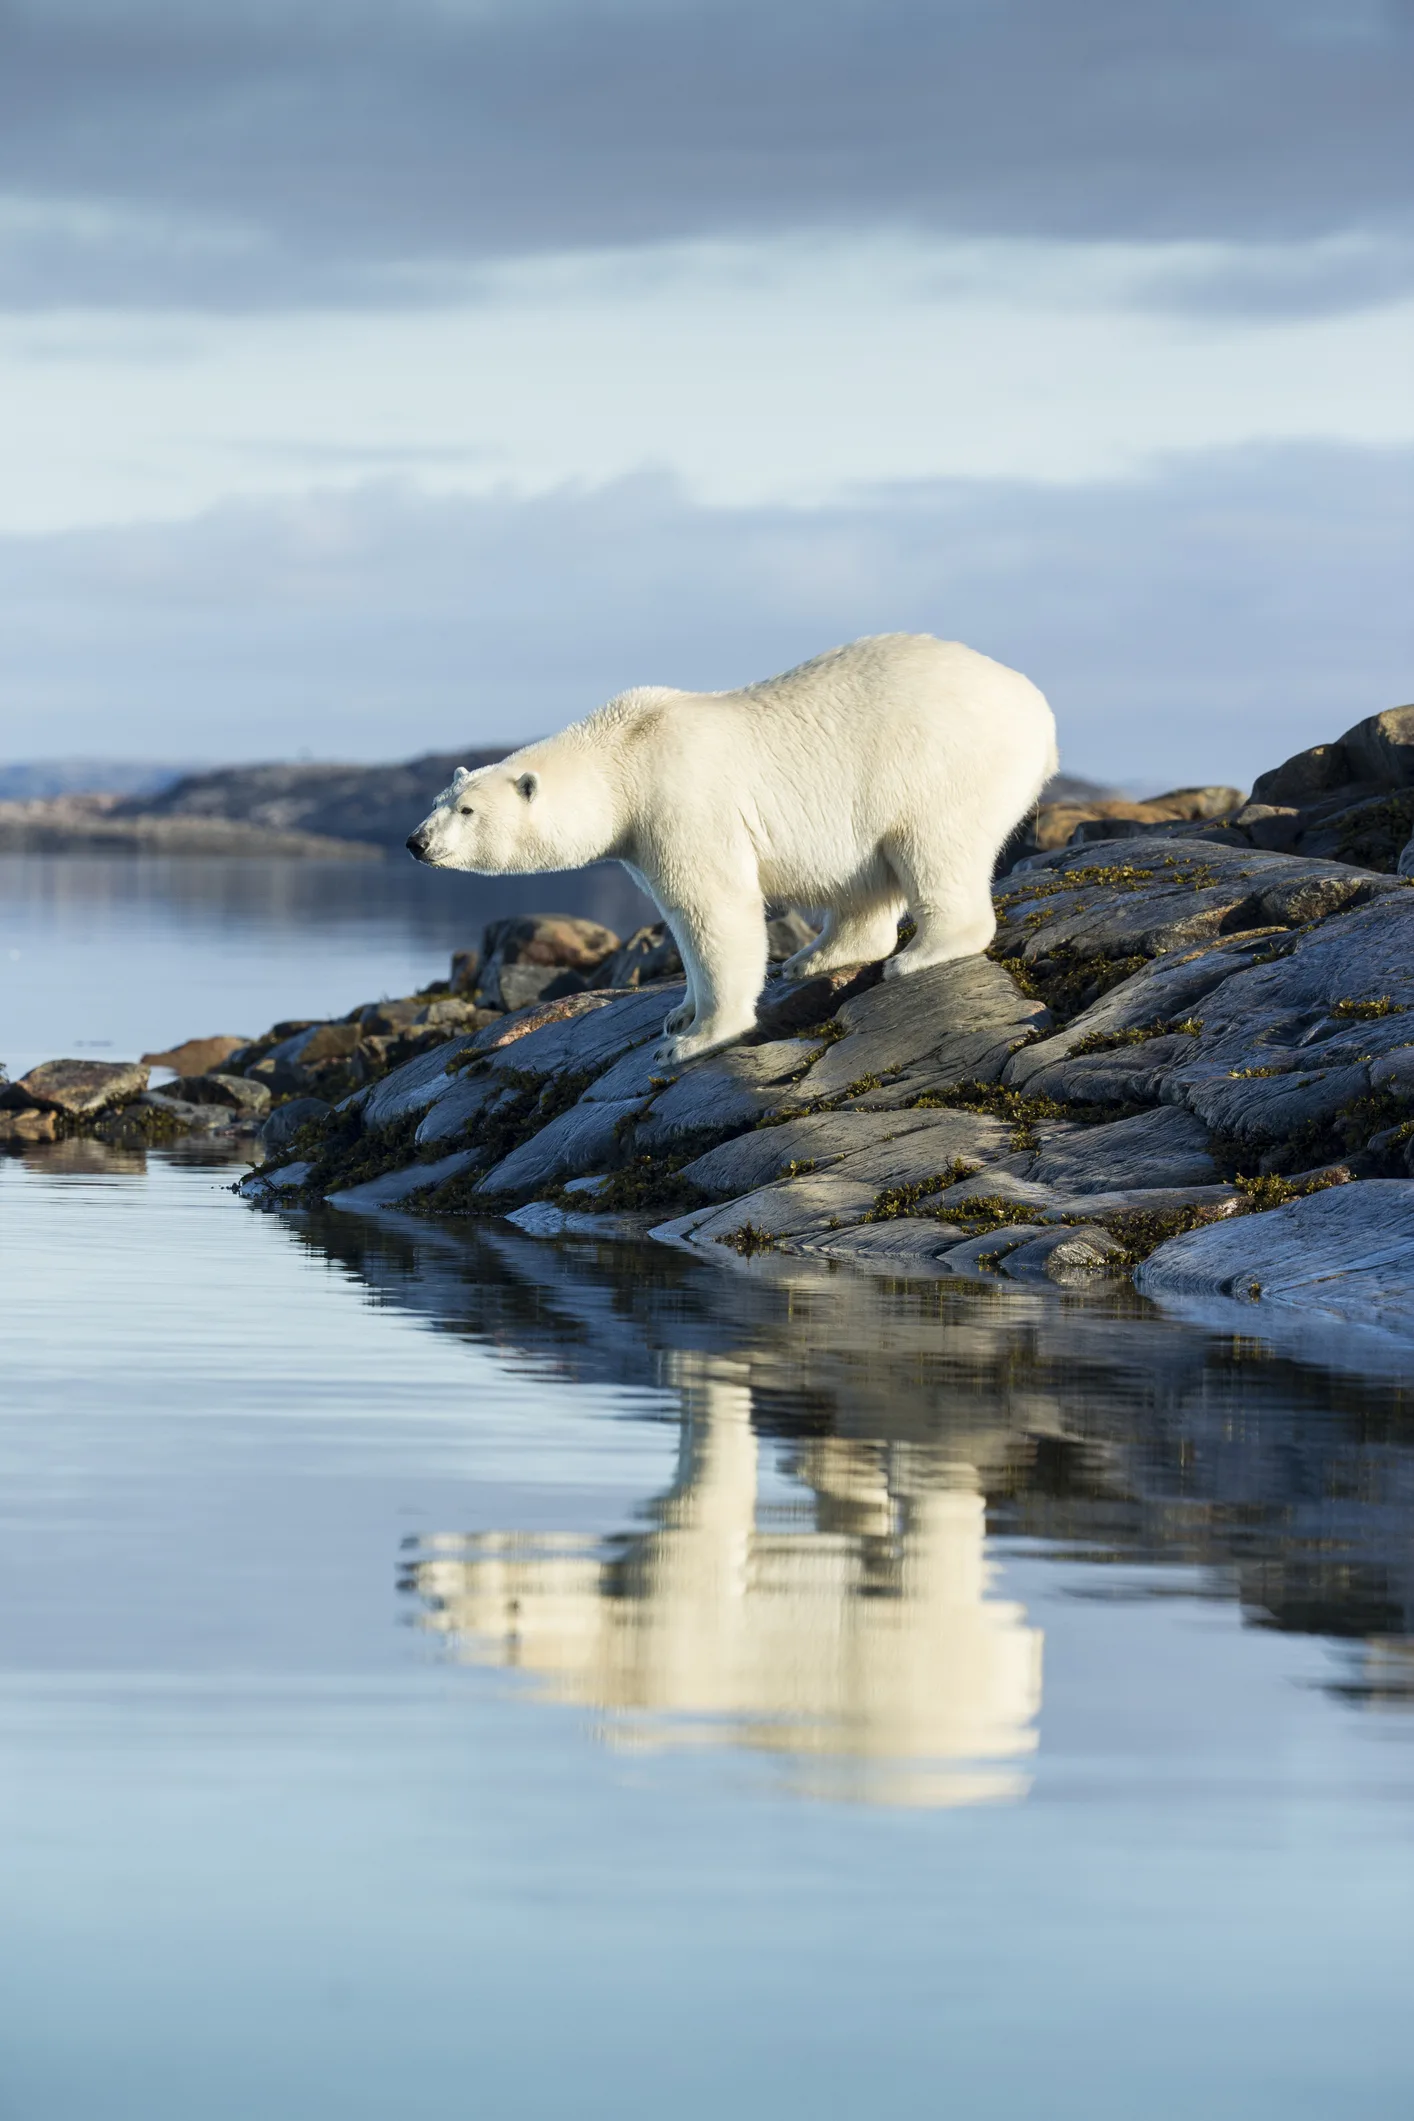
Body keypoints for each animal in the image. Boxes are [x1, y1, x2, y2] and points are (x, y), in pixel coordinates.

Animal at [402, 627, 1055, 1060]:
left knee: (933, 845)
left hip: (939, 764)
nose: (416, 842)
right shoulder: (640, 837)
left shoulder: (682, 802)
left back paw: (920, 954)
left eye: (467, 810)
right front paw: (678, 1012)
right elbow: (677, 916)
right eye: (438, 800)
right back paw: (814, 957)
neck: (626, 754)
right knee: (863, 881)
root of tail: (1039, 710)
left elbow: (713, 907)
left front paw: (694, 1039)